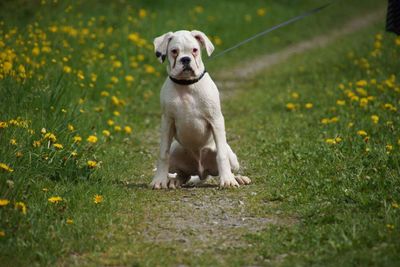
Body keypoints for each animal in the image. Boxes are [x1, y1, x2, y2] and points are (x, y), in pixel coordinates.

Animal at [150, 30, 250, 189]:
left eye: (195, 50)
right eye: (174, 51)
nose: (185, 59)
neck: (186, 86)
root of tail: (202, 172)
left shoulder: (216, 120)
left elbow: (221, 155)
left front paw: (227, 180)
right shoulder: (167, 122)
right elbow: (163, 154)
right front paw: (159, 180)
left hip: (233, 158)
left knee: (228, 163)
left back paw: (237, 178)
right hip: (176, 150)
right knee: (182, 174)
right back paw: (173, 180)